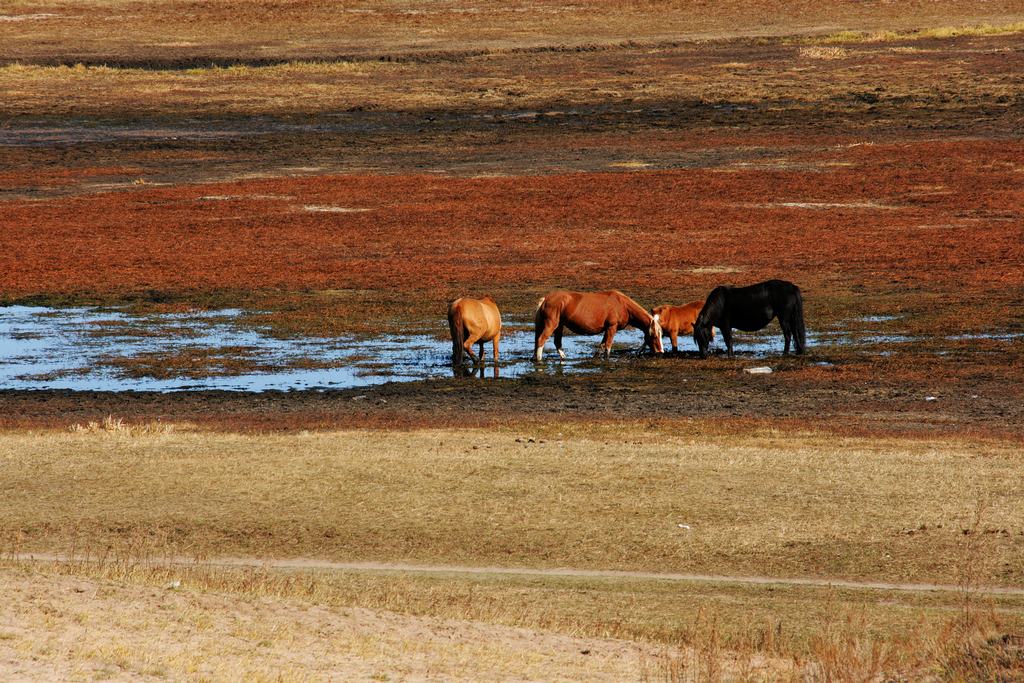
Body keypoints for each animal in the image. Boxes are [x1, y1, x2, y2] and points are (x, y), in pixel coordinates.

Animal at [532, 290, 667, 362]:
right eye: (655, 336)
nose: (661, 352)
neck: (623, 305)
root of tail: (546, 299)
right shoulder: (612, 327)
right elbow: (608, 345)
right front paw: (607, 359)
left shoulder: (607, 329)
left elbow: (602, 345)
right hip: (551, 325)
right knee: (541, 340)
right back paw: (539, 359)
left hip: (559, 326)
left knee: (554, 342)